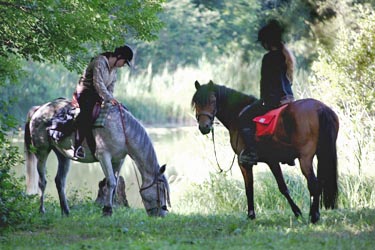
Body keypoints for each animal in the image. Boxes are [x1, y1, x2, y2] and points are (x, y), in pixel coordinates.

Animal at [26, 97, 172, 217]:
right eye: (160, 189)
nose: (162, 214)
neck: (122, 130)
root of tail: (39, 109)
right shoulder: (104, 157)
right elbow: (111, 182)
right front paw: (107, 210)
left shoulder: (119, 160)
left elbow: (115, 183)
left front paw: (110, 208)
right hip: (42, 151)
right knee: (42, 181)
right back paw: (42, 210)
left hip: (63, 155)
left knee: (60, 181)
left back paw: (66, 211)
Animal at [192, 80, 340, 223]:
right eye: (197, 103)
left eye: (212, 100)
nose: (204, 127)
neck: (237, 114)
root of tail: (320, 107)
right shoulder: (272, 161)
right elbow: (283, 187)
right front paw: (297, 212)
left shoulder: (244, 163)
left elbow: (249, 188)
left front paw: (251, 215)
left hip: (305, 158)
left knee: (313, 184)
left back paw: (313, 216)